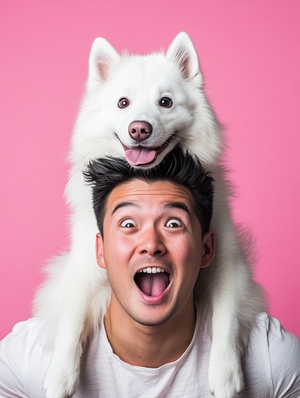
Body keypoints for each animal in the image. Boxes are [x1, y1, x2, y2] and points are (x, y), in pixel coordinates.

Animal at [34, 32, 266, 396]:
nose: (139, 129)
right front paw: (60, 376)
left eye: (166, 102)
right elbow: (72, 318)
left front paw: (225, 375)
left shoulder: (227, 263)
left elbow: (226, 318)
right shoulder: (86, 263)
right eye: (123, 103)